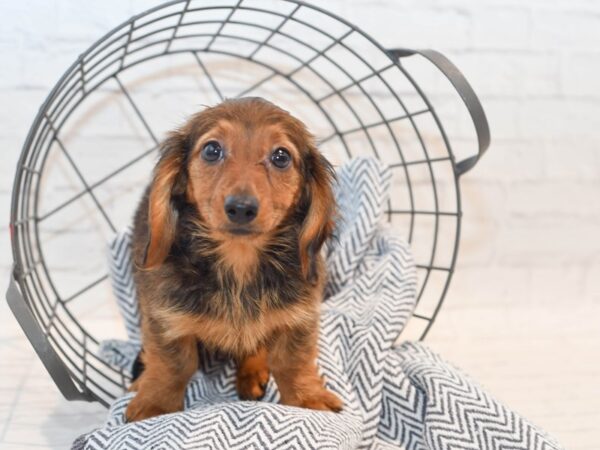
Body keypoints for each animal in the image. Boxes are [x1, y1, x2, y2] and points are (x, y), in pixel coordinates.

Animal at [126, 96, 342, 422]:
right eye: (212, 150)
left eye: (281, 157)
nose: (241, 208)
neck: (239, 263)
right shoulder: (164, 316)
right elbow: (172, 364)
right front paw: (156, 403)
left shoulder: (299, 316)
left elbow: (292, 361)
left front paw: (308, 398)